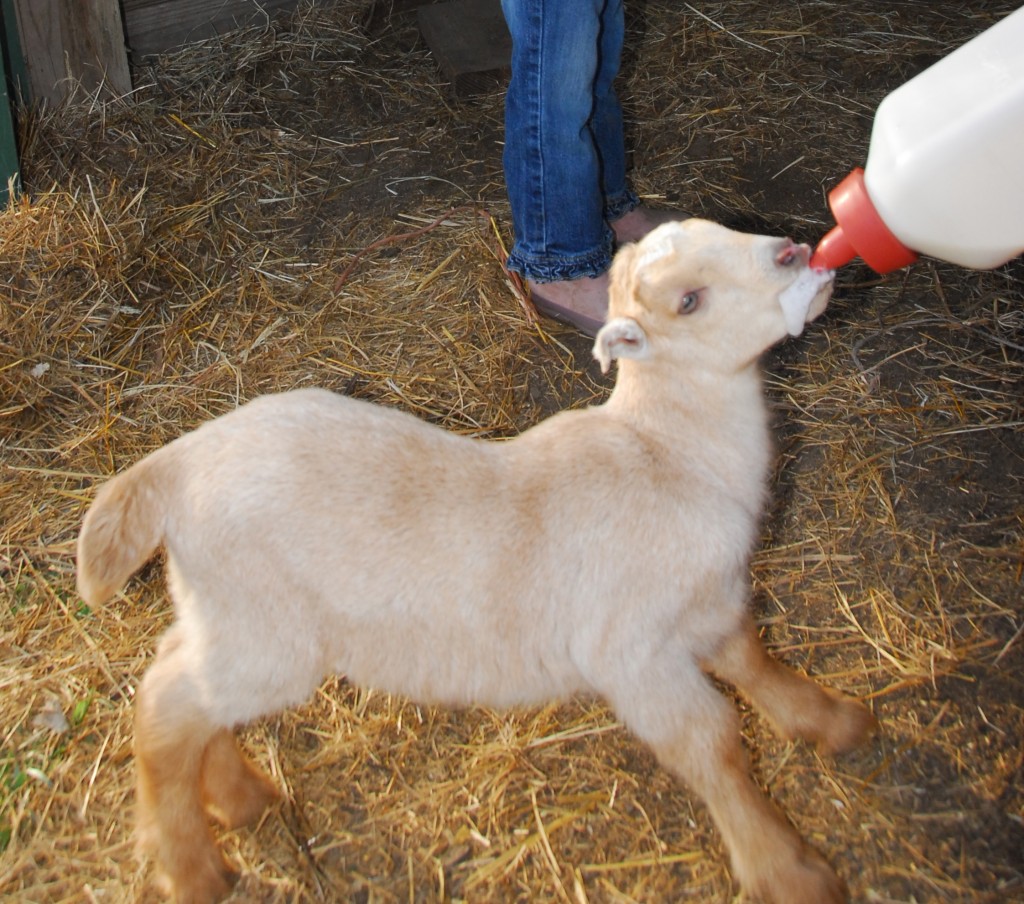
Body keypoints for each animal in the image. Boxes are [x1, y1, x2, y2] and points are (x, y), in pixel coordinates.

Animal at [75, 221, 876, 904]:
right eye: (689, 300)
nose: (797, 254)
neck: (667, 451)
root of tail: (176, 464)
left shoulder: (711, 601)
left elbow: (751, 658)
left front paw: (831, 720)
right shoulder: (634, 652)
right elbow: (714, 745)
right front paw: (786, 870)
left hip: (224, 612)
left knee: (178, 678)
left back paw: (238, 801)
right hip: (269, 638)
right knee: (165, 705)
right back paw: (193, 868)